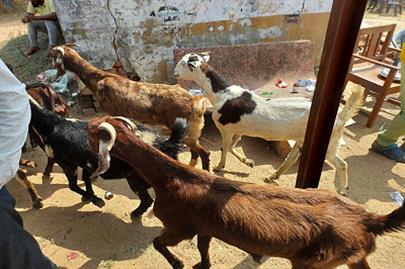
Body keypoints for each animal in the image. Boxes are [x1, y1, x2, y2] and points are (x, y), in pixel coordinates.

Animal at [28, 98, 186, 216]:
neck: (52, 124)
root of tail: (165, 144)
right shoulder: (88, 163)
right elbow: (86, 179)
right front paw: (91, 196)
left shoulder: (66, 162)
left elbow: (76, 184)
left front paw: (95, 199)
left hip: (134, 179)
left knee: (146, 199)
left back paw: (134, 213)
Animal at [49, 44, 210, 170]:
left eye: (54, 55)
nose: (53, 74)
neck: (99, 78)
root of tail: (196, 100)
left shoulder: (111, 110)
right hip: (191, 131)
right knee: (195, 152)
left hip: (188, 130)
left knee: (204, 153)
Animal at [87, 115, 404, 268]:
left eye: (92, 131)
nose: (82, 139)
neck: (171, 178)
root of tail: (369, 220)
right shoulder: (204, 228)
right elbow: (204, 250)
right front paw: (200, 266)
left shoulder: (179, 228)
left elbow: (157, 243)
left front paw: (178, 263)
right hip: (356, 258)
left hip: (313, 263)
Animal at [174, 52, 362, 195]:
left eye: (183, 63)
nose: (175, 73)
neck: (223, 94)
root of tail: (340, 117)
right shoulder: (239, 131)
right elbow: (231, 147)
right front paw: (248, 162)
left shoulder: (226, 130)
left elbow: (225, 148)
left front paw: (220, 167)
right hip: (305, 140)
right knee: (291, 159)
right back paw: (272, 177)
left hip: (329, 145)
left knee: (342, 164)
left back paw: (342, 189)